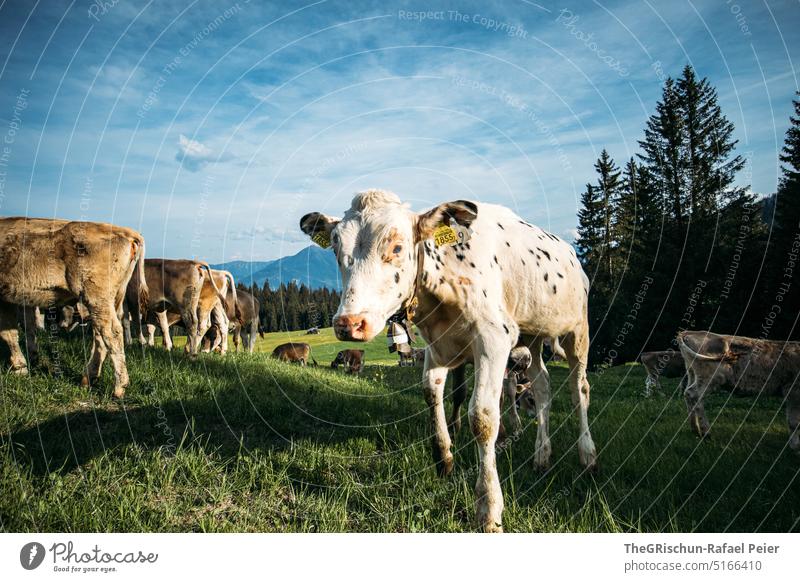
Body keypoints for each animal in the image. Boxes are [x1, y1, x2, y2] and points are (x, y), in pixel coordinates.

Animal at [0, 217, 147, 400]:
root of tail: (127, 231)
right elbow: (24, 328)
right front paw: (30, 361)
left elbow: (9, 333)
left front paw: (20, 367)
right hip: (111, 299)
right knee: (100, 334)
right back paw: (89, 377)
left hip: (97, 296)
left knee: (111, 332)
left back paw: (119, 386)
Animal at [296, 190, 596, 532]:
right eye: (335, 248)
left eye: (397, 247)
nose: (349, 323)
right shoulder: (436, 345)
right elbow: (431, 392)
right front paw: (444, 459)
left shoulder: (494, 337)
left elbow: (482, 417)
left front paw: (489, 508)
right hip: (531, 335)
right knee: (543, 385)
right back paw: (542, 455)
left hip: (578, 329)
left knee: (579, 389)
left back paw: (587, 455)